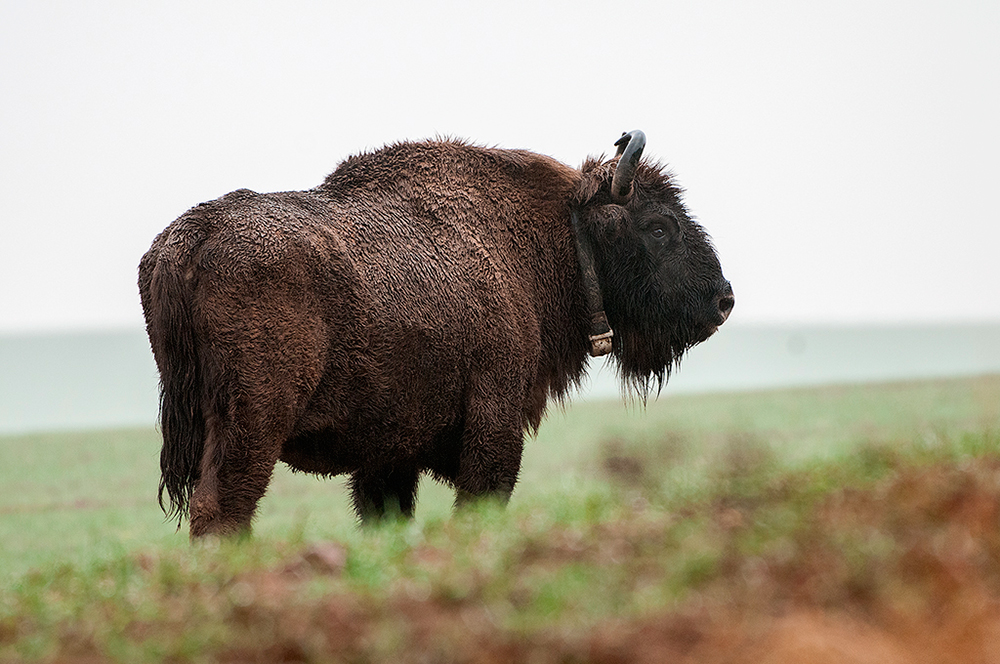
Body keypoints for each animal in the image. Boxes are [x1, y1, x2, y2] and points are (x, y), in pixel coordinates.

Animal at [139, 131, 736, 540]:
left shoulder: (387, 457)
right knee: (223, 512)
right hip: (252, 425)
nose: (723, 300)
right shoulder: (493, 425)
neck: (556, 238)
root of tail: (188, 238)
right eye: (658, 226)